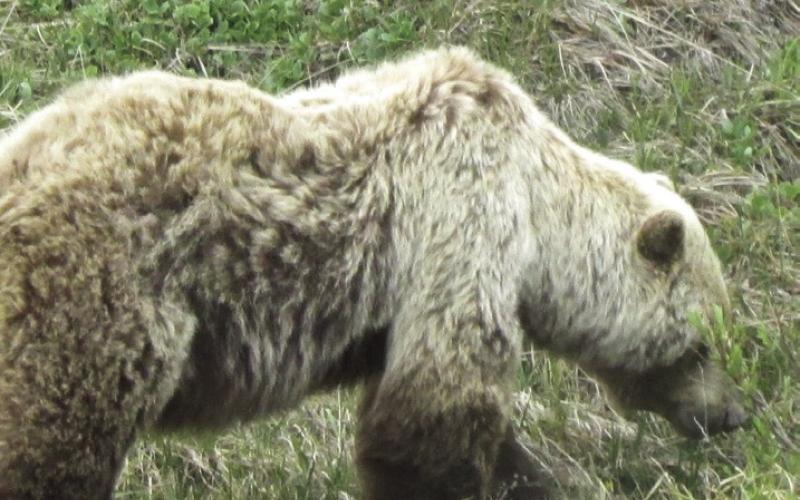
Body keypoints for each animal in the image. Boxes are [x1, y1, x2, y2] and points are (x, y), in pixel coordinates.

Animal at [0, 47, 746, 499]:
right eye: (701, 344)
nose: (731, 415)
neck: (539, 214)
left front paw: (540, 476)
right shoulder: (459, 229)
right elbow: (433, 417)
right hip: (98, 305)